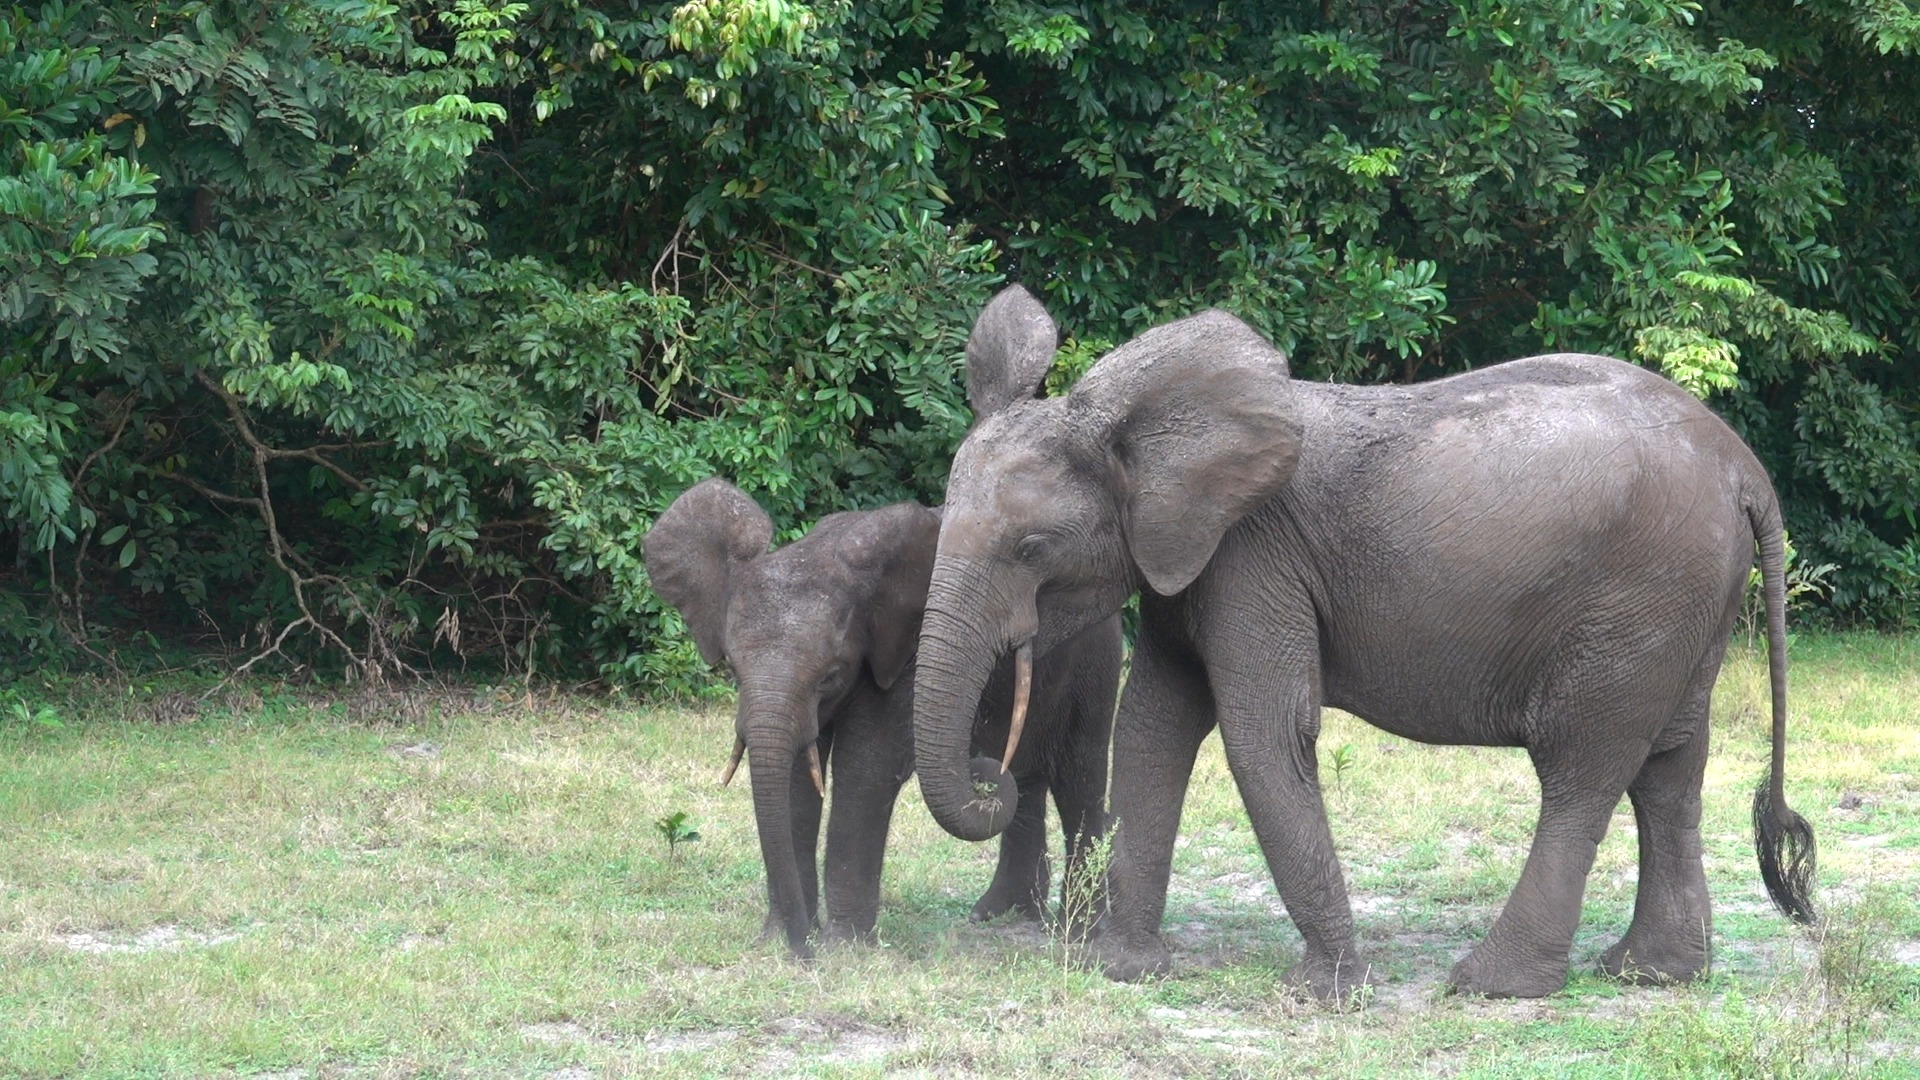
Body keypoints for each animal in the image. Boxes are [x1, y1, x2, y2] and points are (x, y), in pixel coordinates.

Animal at [643, 478, 1121, 957]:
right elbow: (797, 776)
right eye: (733, 669)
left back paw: (1076, 931)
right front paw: (783, 938)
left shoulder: (905, 656)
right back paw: (1004, 914)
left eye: (830, 675)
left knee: (1079, 776)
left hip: (1096, 660)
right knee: (1023, 779)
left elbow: (866, 768)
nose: (802, 956)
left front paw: (844, 949)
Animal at [909, 285, 1816, 1001]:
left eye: (1031, 549)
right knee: (1670, 769)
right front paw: (1127, 971)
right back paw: (1651, 974)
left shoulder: (1251, 554)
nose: (992, 774)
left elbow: (1263, 735)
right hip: (1683, 599)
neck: (1130, 430)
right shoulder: (1185, 557)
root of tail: (1747, 470)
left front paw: (1329, 993)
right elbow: (1153, 728)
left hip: (1639, 595)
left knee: (1582, 767)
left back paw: (1490, 984)